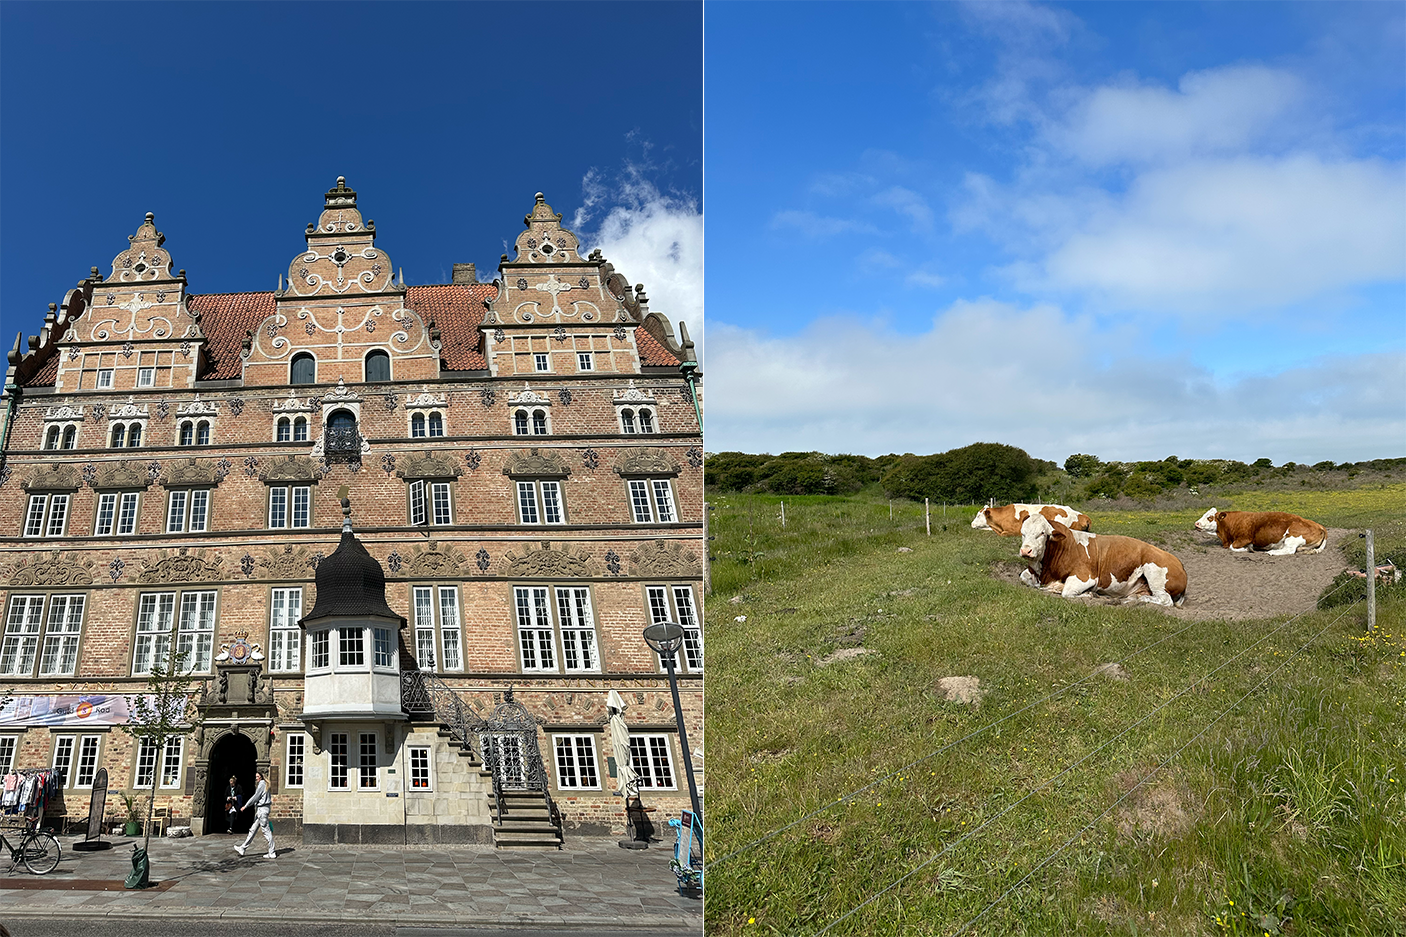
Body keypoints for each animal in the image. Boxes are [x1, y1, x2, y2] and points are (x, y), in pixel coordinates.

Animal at [1023, 512, 1186, 604]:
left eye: (1042, 533)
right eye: (1023, 533)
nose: (1026, 550)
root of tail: (1179, 563)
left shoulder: (1085, 577)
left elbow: (1067, 592)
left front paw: (1088, 594)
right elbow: (1023, 577)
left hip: (1154, 572)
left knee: (1165, 600)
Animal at [1192, 503, 1321, 554]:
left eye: (1209, 517)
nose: (1196, 523)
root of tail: (1319, 525)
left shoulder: (1244, 538)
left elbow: (1233, 547)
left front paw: (1248, 549)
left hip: (1292, 537)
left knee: (1289, 550)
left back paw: (1271, 552)